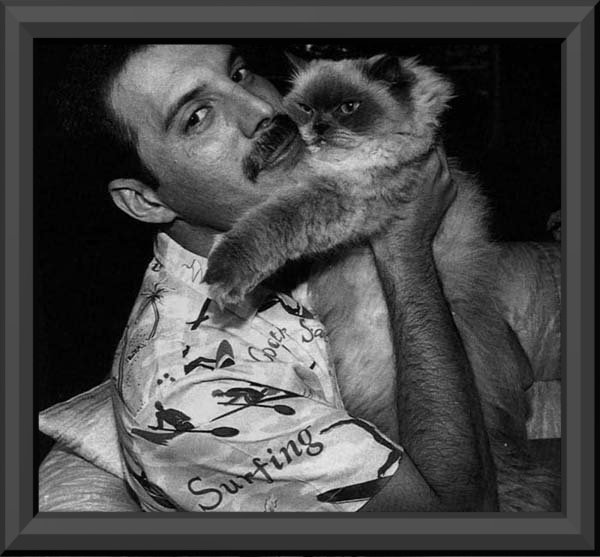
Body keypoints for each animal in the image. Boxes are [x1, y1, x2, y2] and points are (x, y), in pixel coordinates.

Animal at [204, 54, 560, 511]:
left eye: (348, 108)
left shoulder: (347, 197)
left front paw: (222, 271)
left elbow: (270, 222)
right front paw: (267, 147)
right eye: (307, 108)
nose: (319, 127)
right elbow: (277, 179)